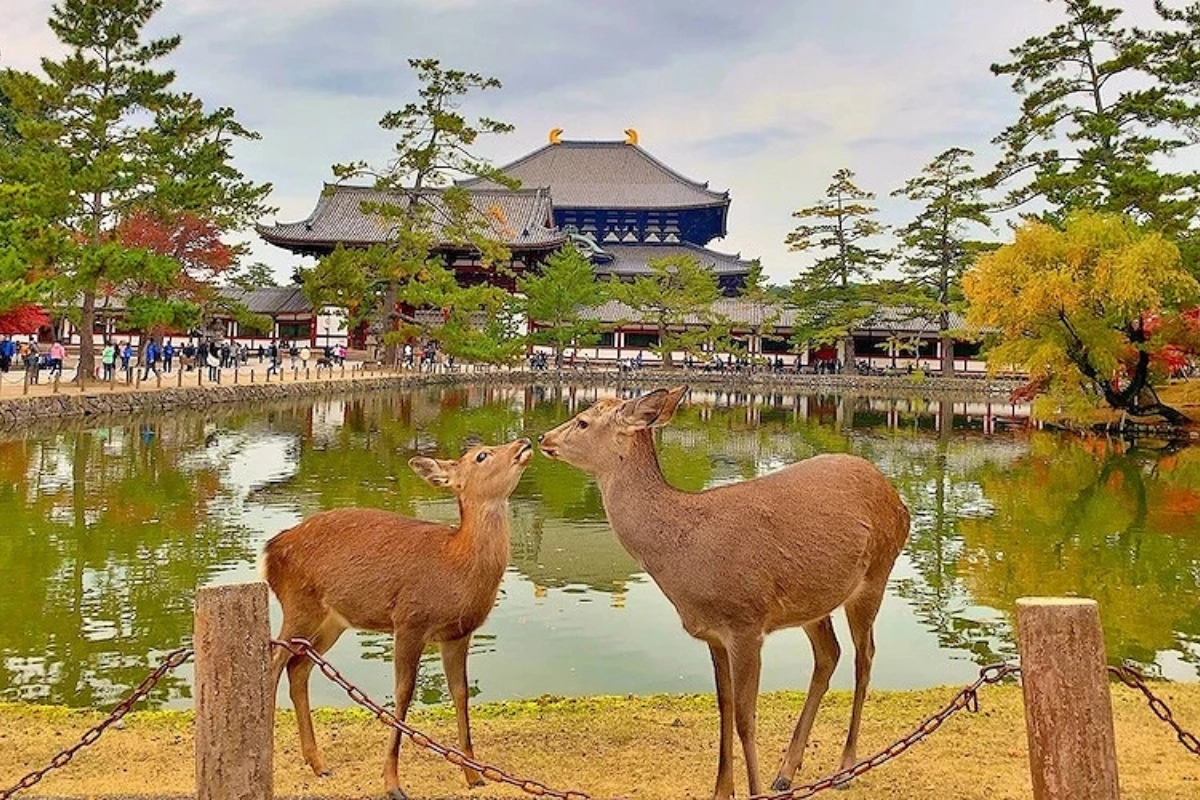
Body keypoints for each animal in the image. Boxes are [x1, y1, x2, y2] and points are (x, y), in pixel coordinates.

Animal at [263, 437, 534, 800]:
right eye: (481, 455)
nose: (524, 441)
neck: (456, 565)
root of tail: (270, 551)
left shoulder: (457, 634)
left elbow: (461, 693)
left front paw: (474, 775)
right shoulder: (409, 621)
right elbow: (403, 693)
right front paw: (392, 783)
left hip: (332, 621)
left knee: (299, 666)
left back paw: (318, 764)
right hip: (298, 606)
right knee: (274, 664)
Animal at [538, 387, 910, 800]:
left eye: (583, 421)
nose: (543, 438)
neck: (685, 553)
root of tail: (900, 502)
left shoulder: (746, 622)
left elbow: (746, 717)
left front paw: (754, 791)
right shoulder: (713, 633)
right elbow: (724, 707)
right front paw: (721, 790)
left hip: (876, 574)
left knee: (865, 657)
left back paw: (846, 767)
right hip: (813, 602)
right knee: (829, 654)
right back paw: (786, 773)